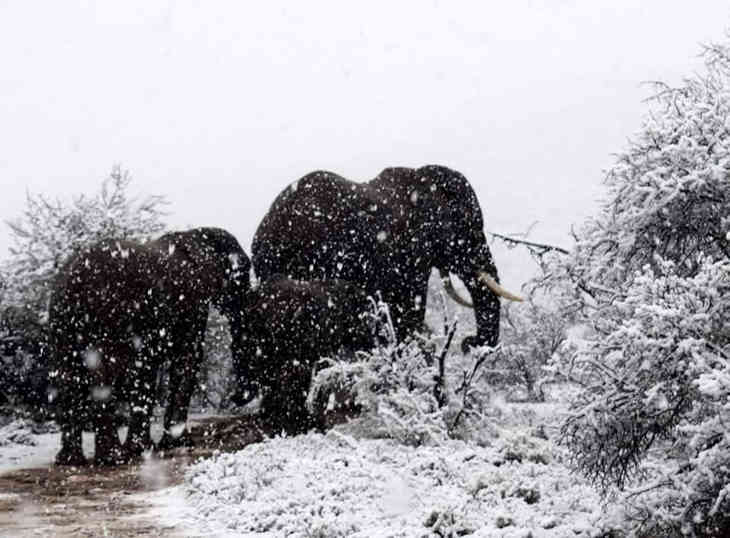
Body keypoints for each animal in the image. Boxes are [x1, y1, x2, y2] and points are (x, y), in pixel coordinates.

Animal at [48, 224, 249, 462]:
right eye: (244, 274)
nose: (236, 397)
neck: (196, 235)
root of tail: (73, 282)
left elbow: (149, 369)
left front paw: (150, 447)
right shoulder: (192, 303)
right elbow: (187, 359)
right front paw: (172, 444)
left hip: (62, 320)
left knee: (68, 375)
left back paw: (71, 460)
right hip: (108, 315)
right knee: (103, 374)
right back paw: (114, 458)